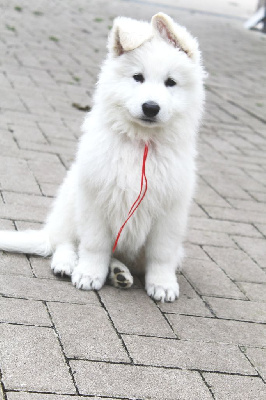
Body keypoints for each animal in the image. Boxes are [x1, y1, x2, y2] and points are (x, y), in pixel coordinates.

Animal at [0, 12, 206, 302]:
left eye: (171, 83)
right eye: (138, 77)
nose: (151, 107)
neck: (139, 142)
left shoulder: (170, 211)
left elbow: (162, 254)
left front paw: (163, 284)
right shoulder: (95, 199)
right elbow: (95, 245)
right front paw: (89, 273)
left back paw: (119, 273)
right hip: (70, 201)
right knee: (64, 241)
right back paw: (67, 263)